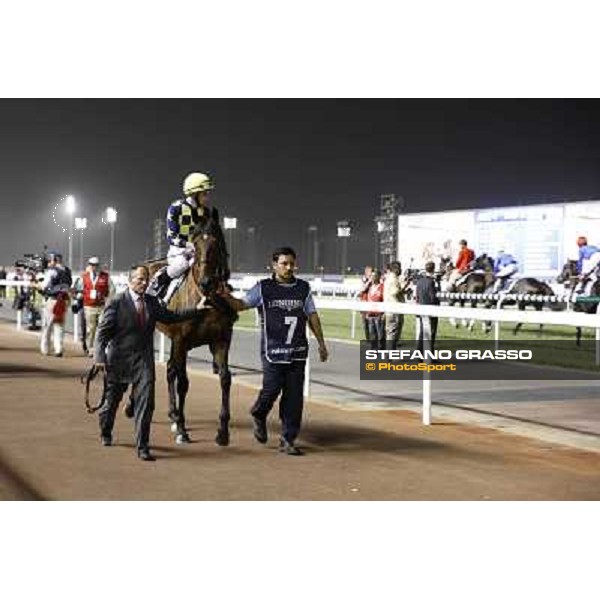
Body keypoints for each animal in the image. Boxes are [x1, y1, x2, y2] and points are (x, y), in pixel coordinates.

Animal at [145, 218, 237, 442]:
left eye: (216, 245)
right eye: (195, 247)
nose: (206, 281)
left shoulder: (221, 340)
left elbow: (225, 379)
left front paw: (223, 431)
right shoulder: (182, 341)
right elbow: (183, 383)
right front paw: (181, 429)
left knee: (170, 369)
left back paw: (172, 413)